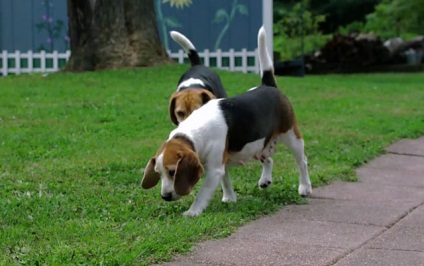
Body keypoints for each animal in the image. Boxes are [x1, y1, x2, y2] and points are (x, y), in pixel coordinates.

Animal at [142, 26, 312, 216]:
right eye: (158, 173)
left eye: (173, 172)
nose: (165, 196)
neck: (193, 133)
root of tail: (269, 86)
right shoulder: (220, 165)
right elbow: (226, 180)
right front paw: (230, 198)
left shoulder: (214, 169)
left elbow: (202, 194)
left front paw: (192, 213)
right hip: (257, 144)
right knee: (268, 160)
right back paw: (265, 180)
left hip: (292, 137)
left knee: (302, 162)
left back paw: (305, 187)